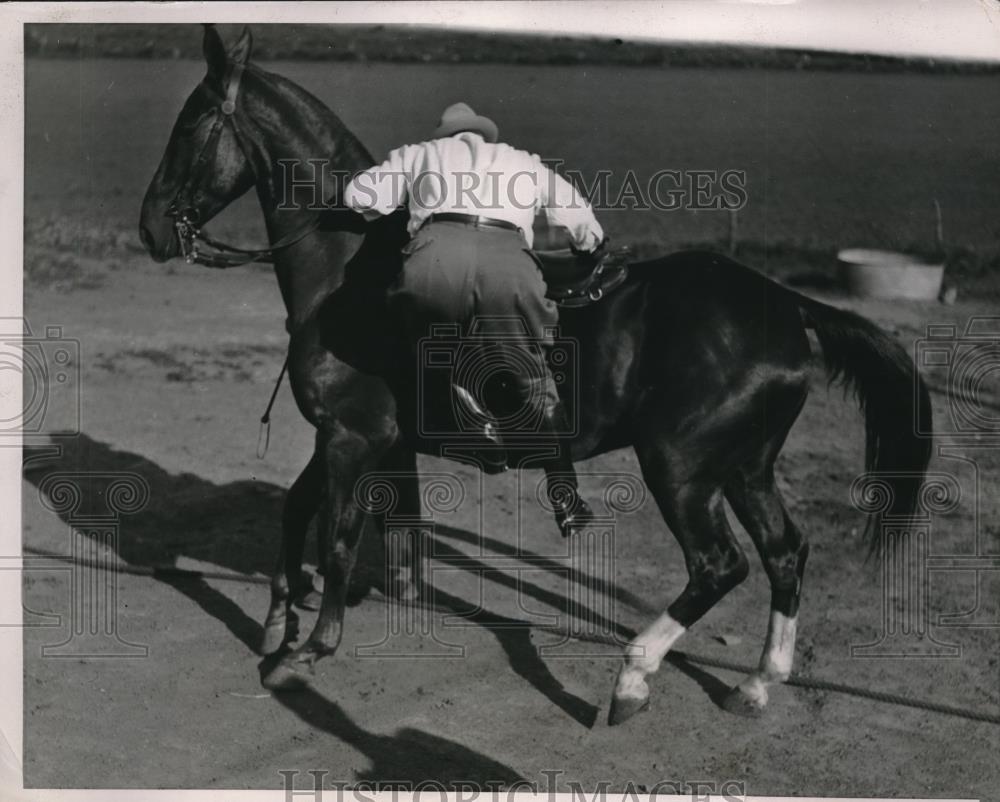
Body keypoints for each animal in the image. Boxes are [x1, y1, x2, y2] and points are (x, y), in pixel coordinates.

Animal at [137, 26, 932, 724]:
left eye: (188, 125)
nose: (149, 228)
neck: (345, 274)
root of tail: (784, 302)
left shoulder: (351, 437)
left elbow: (335, 535)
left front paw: (306, 650)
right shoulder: (350, 439)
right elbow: (300, 512)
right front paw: (279, 620)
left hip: (681, 468)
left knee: (720, 565)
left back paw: (634, 675)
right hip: (744, 467)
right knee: (784, 553)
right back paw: (759, 685)